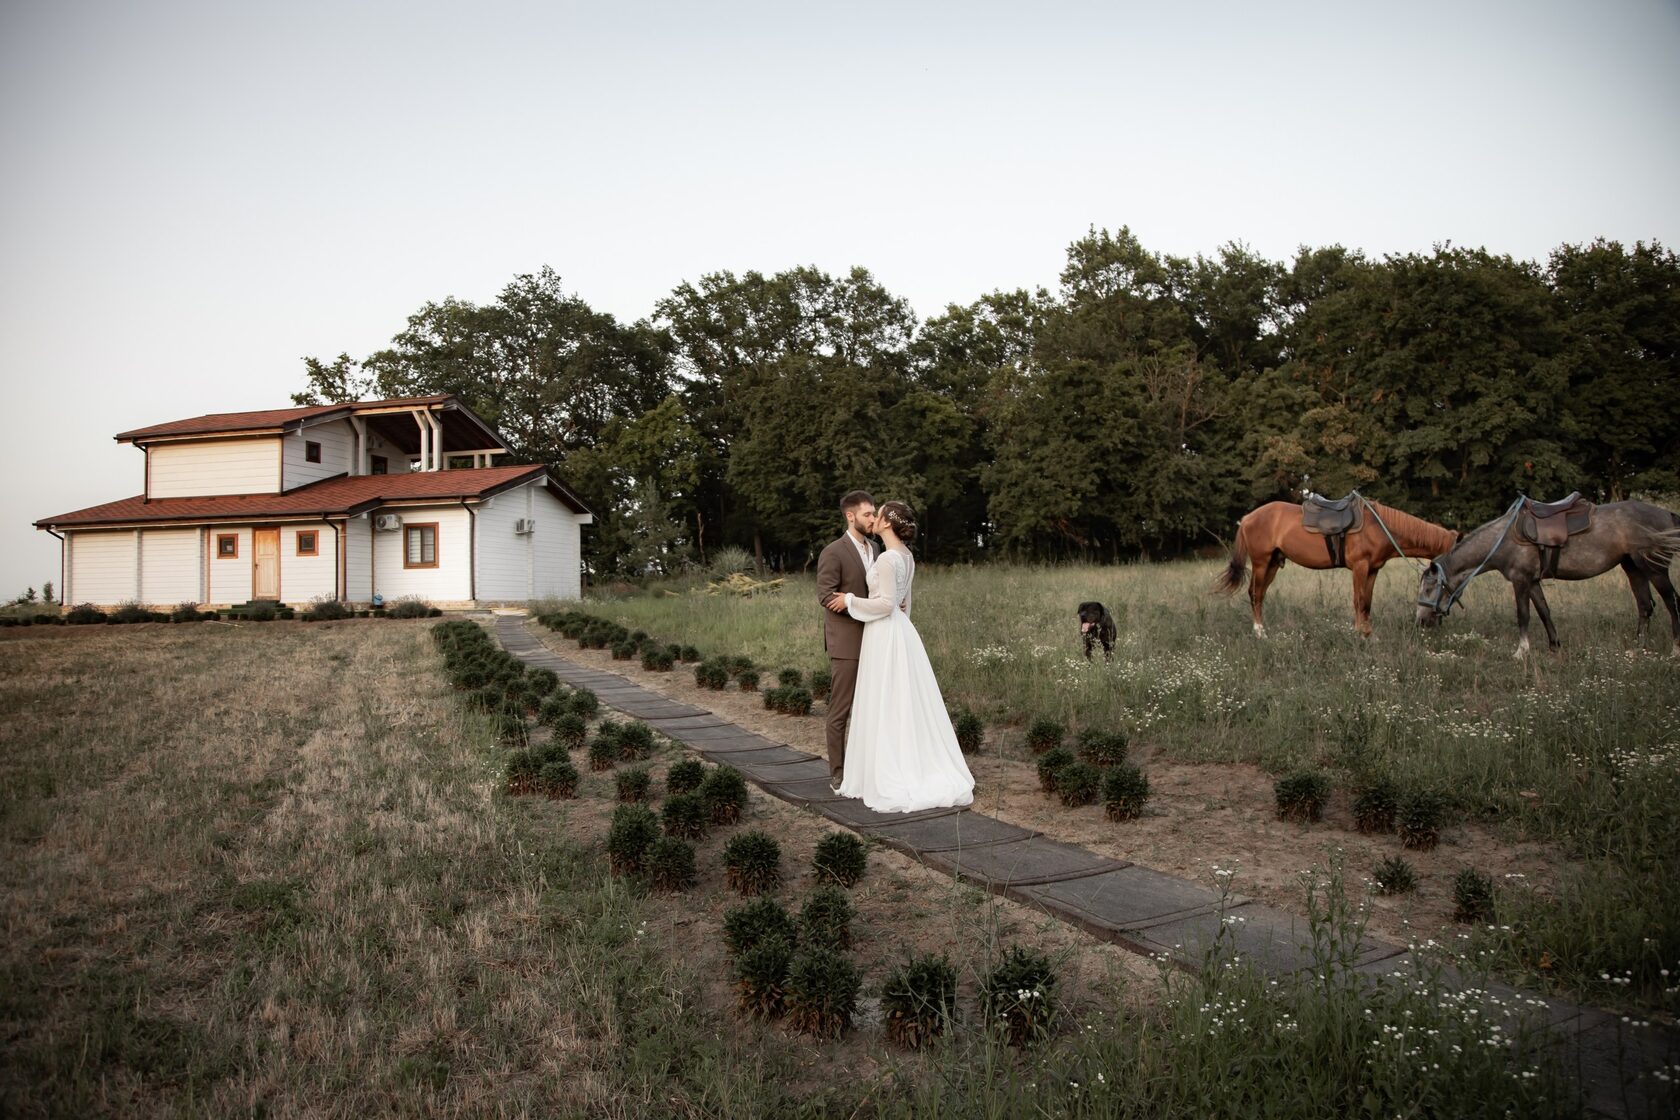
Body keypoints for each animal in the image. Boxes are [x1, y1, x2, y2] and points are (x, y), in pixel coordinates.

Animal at [1209, 500, 1458, 638]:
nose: (1430, 622)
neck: (1379, 527)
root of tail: (1247, 518)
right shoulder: (1360, 567)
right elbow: (1359, 601)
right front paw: (1360, 634)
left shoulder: (1373, 570)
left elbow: (1367, 603)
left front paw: (1369, 634)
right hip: (1261, 563)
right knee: (1254, 594)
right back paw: (1260, 633)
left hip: (1272, 564)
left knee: (1260, 595)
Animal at [1417, 500, 1680, 658]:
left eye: (1429, 589)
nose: (1420, 621)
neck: (1502, 541)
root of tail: (1667, 513)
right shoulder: (1533, 582)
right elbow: (1544, 612)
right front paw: (1554, 646)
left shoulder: (1521, 581)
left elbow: (1523, 615)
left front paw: (1521, 652)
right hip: (1633, 568)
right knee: (1645, 606)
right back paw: (1638, 649)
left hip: (1655, 569)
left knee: (1672, 603)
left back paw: (1675, 649)